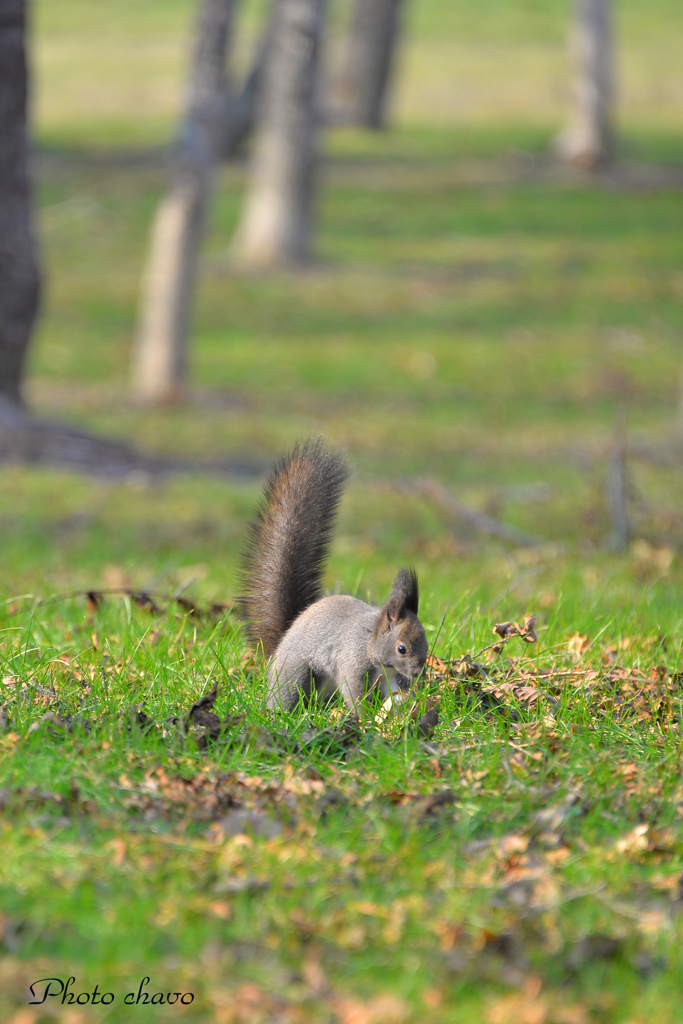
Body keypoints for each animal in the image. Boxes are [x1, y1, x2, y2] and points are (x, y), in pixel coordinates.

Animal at [240, 438, 428, 712]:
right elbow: (353, 691)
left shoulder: (391, 676)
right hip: (295, 674)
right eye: (401, 649)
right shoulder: (352, 661)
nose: (417, 674)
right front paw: (363, 716)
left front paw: (406, 704)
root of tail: (277, 651)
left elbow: (394, 692)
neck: (370, 641)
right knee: (288, 694)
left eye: (426, 643)